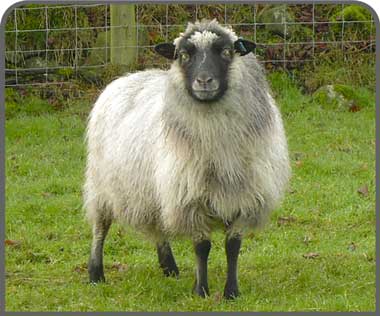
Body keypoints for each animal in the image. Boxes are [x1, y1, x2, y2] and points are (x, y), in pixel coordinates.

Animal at [84, 18, 290, 300]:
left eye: (227, 52)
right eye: (183, 55)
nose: (204, 80)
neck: (217, 143)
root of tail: (127, 76)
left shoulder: (244, 197)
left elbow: (233, 246)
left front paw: (231, 292)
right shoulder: (190, 198)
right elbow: (202, 247)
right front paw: (201, 290)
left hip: (154, 190)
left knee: (158, 226)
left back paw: (169, 267)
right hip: (101, 185)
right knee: (100, 227)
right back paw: (96, 273)